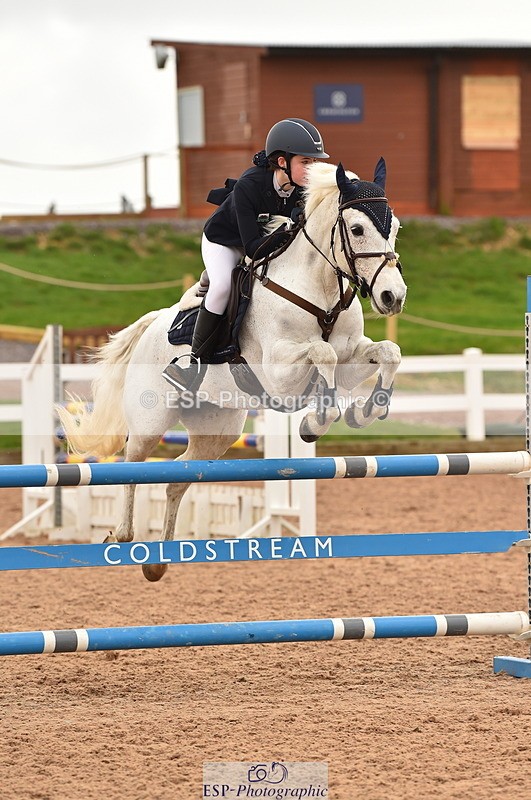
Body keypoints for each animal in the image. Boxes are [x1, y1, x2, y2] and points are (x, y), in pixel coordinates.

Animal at [57, 159, 407, 581]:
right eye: (356, 229)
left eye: (395, 227)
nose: (393, 297)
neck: (319, 292)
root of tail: (153, 323)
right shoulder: (278, 371)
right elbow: (322, 353)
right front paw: (316, 421)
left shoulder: (350, 358)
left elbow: (388, 352)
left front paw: (367, 410)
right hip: (150, 422)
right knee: (132, 465)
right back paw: (122, 535)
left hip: (217, 431)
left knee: (177, 479)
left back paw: (158, 562)